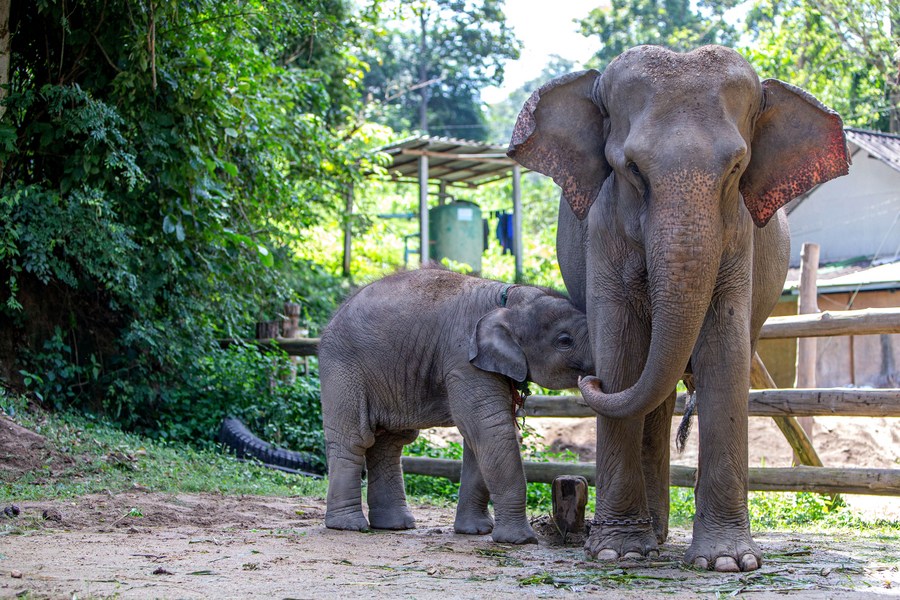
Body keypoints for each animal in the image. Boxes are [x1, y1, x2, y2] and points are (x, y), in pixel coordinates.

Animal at [320, 270, 596, 548]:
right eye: (565, 340)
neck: (509, 299)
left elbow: (478, 439)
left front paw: (476, 531)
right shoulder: (463, 361)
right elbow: (490, 428)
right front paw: (521, 541)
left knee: (390, 442)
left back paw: (395, 525)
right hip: (343, 370)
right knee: (354, 439)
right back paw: (348, 526)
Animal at [506, 45, 852, 572]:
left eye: (736, 168)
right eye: (632, 168)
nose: (588, 379)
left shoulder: (740, 233)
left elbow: (725, 352)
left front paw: (728, 562)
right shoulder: (603, 227)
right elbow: (623, 350)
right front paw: (617, 553)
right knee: (655, 391)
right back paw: (651, 538)